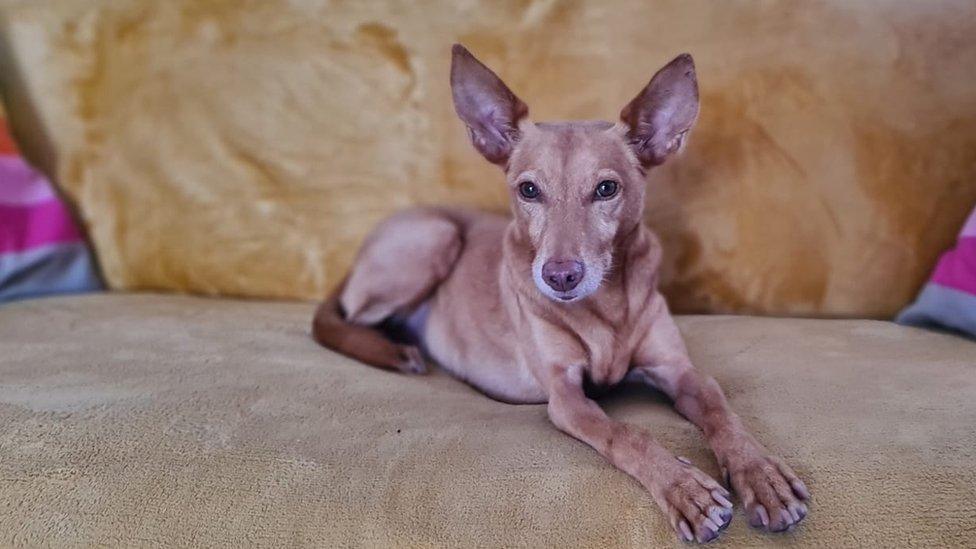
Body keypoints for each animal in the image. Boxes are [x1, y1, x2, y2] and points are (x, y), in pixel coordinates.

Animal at [312, 45, 808, 540]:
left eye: (606, 188)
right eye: (529, 190)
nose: (560, 276)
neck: (606, 307)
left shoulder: (681, 371)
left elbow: (722, 411)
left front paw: (761, 474)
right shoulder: (566, 397)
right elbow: (627, 434)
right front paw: (684, 487)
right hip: (434, 237)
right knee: (337, 321)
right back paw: (392, 349)